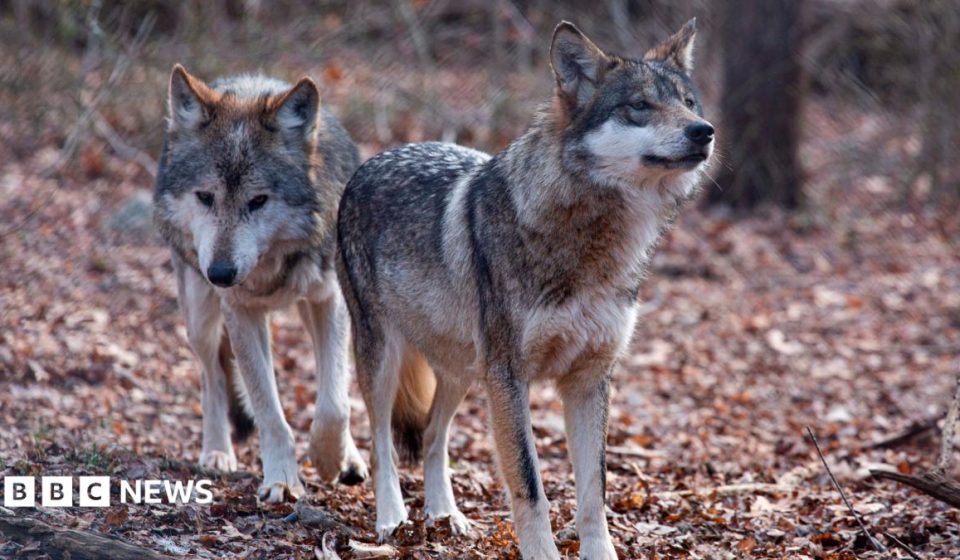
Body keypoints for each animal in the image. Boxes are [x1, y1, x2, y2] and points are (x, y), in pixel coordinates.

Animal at [153, 65, 367, 503]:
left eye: (258, 201)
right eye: (205, 197)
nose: (220, 273)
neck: (270, 266)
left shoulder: (331, 300)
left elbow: (335, 403)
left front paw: (327, 459)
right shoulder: (241, 312)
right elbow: (269, 410)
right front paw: (283, 479)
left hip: (310, 309)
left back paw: (350, 458)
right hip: (200, 316)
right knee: (212, 378)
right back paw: (217, 451)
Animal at [337, 20, 713, 559]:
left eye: (688, 102)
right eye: (639, 106)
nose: (704, 131)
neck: (592, 244)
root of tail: (374, 158)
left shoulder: (589, 380)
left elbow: (594, 493)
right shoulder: (510, 377)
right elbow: (530, 487)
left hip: (464, 370)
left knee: (431, 436)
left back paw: (444, 516)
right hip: (386, 359)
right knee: (381, 443)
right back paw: (392, 520)